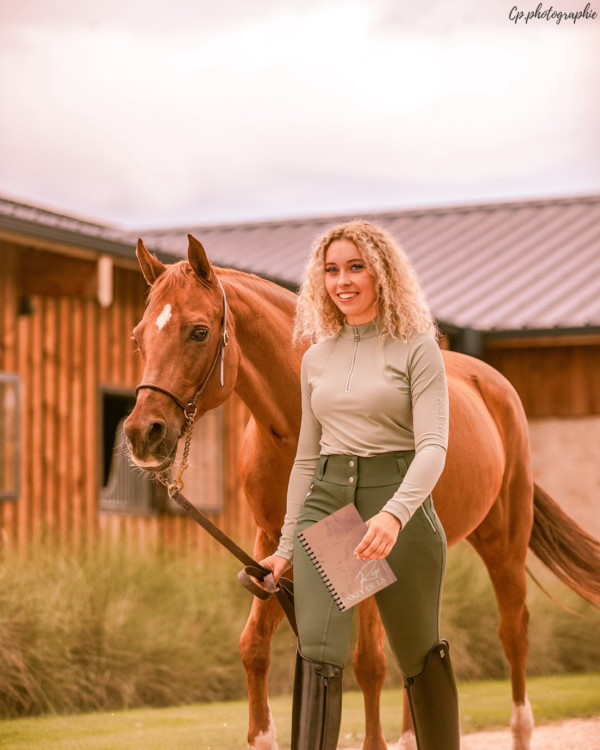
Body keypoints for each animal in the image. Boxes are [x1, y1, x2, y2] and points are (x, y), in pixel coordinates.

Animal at [124, 239, 596, 750]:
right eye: (137, 337)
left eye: (199, 331)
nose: (142, 434)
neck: (294, 424)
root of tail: (493, 385)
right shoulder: (272, 544)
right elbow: (254, 646)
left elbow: (370, 662)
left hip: (503, 543)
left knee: (513, 634)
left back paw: (520, 727)